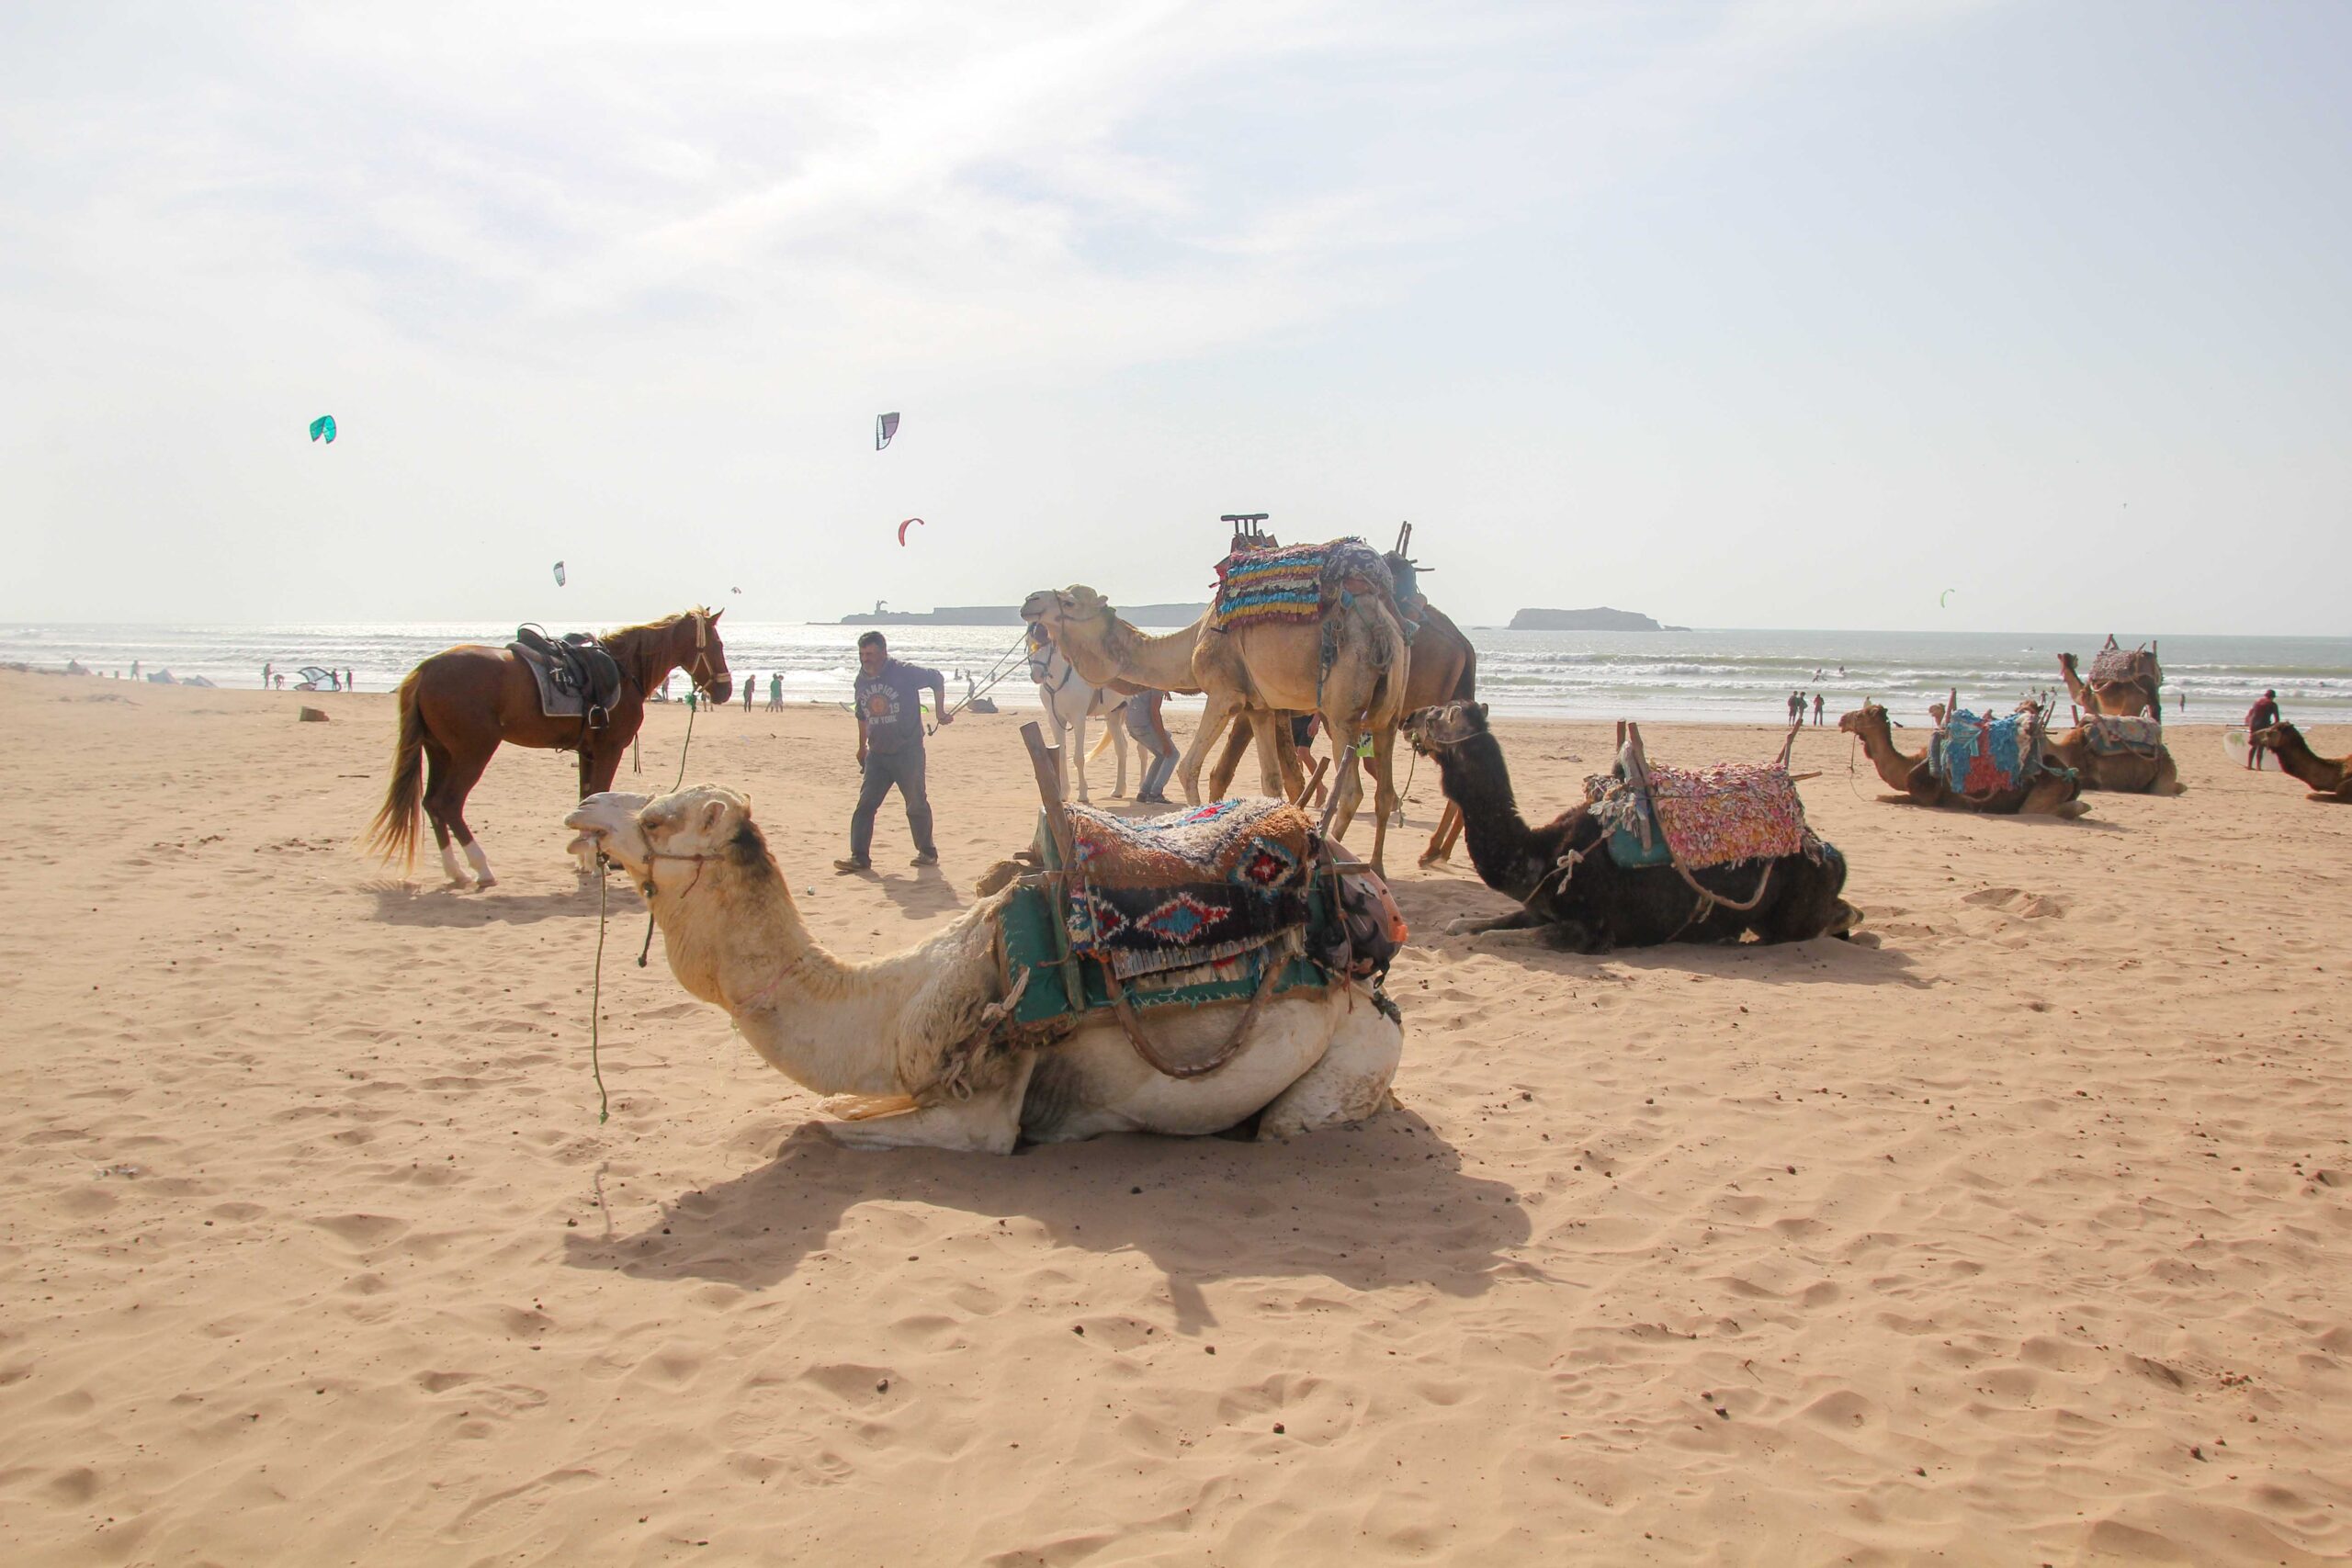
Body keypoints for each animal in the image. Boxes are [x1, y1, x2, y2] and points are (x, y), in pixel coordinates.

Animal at [362, 606, 729, 888]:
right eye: (717, 643)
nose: (725, 691)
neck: (624, 671)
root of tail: (425, 669)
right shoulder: (609, 749)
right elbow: (598, 794)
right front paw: (595, 861)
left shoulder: (588, 752)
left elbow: (586, 799)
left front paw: (585, 860)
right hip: (471, 753)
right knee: (447, 804)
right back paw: (480, 867)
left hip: (440, 752)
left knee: (432, 805)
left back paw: (455, 871)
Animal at [564, 784, 1392, 1152]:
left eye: (657, 819)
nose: (584, 808)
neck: (892, 1002)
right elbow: (837, 1108)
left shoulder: (982, 1111)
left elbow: (819, 1124)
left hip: (1349, 1058)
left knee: (1288, 1121)